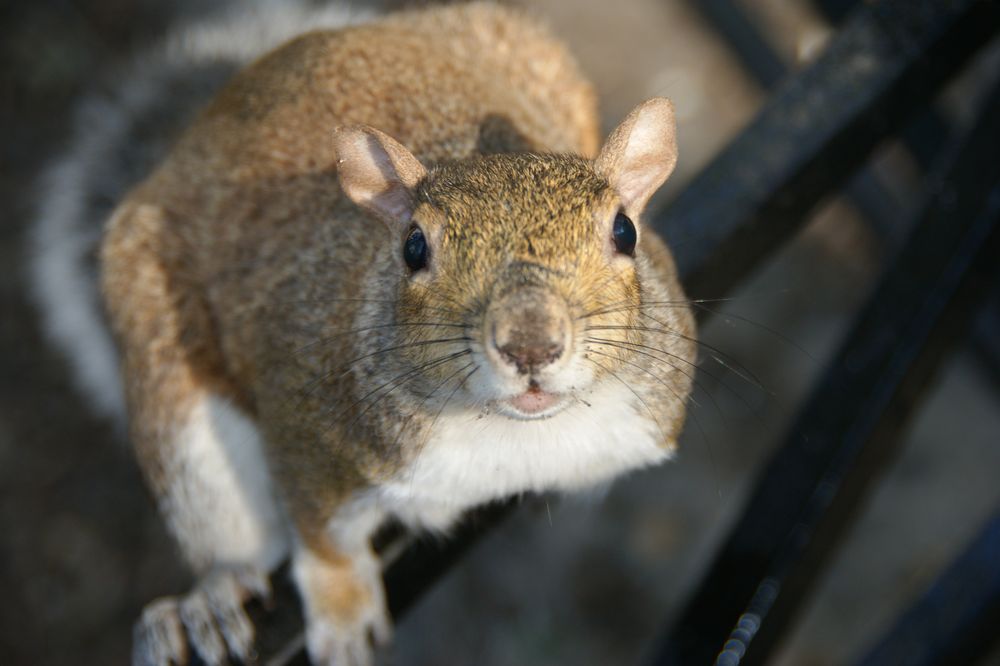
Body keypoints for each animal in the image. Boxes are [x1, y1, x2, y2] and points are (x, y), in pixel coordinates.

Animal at [37, 1, 696, 664]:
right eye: (413, 247)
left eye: (625, 232)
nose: (530, 344)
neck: (513, 435)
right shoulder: (307, 431)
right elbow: (322, 542)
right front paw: (343, 614)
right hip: (174, 393)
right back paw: (214, 597)